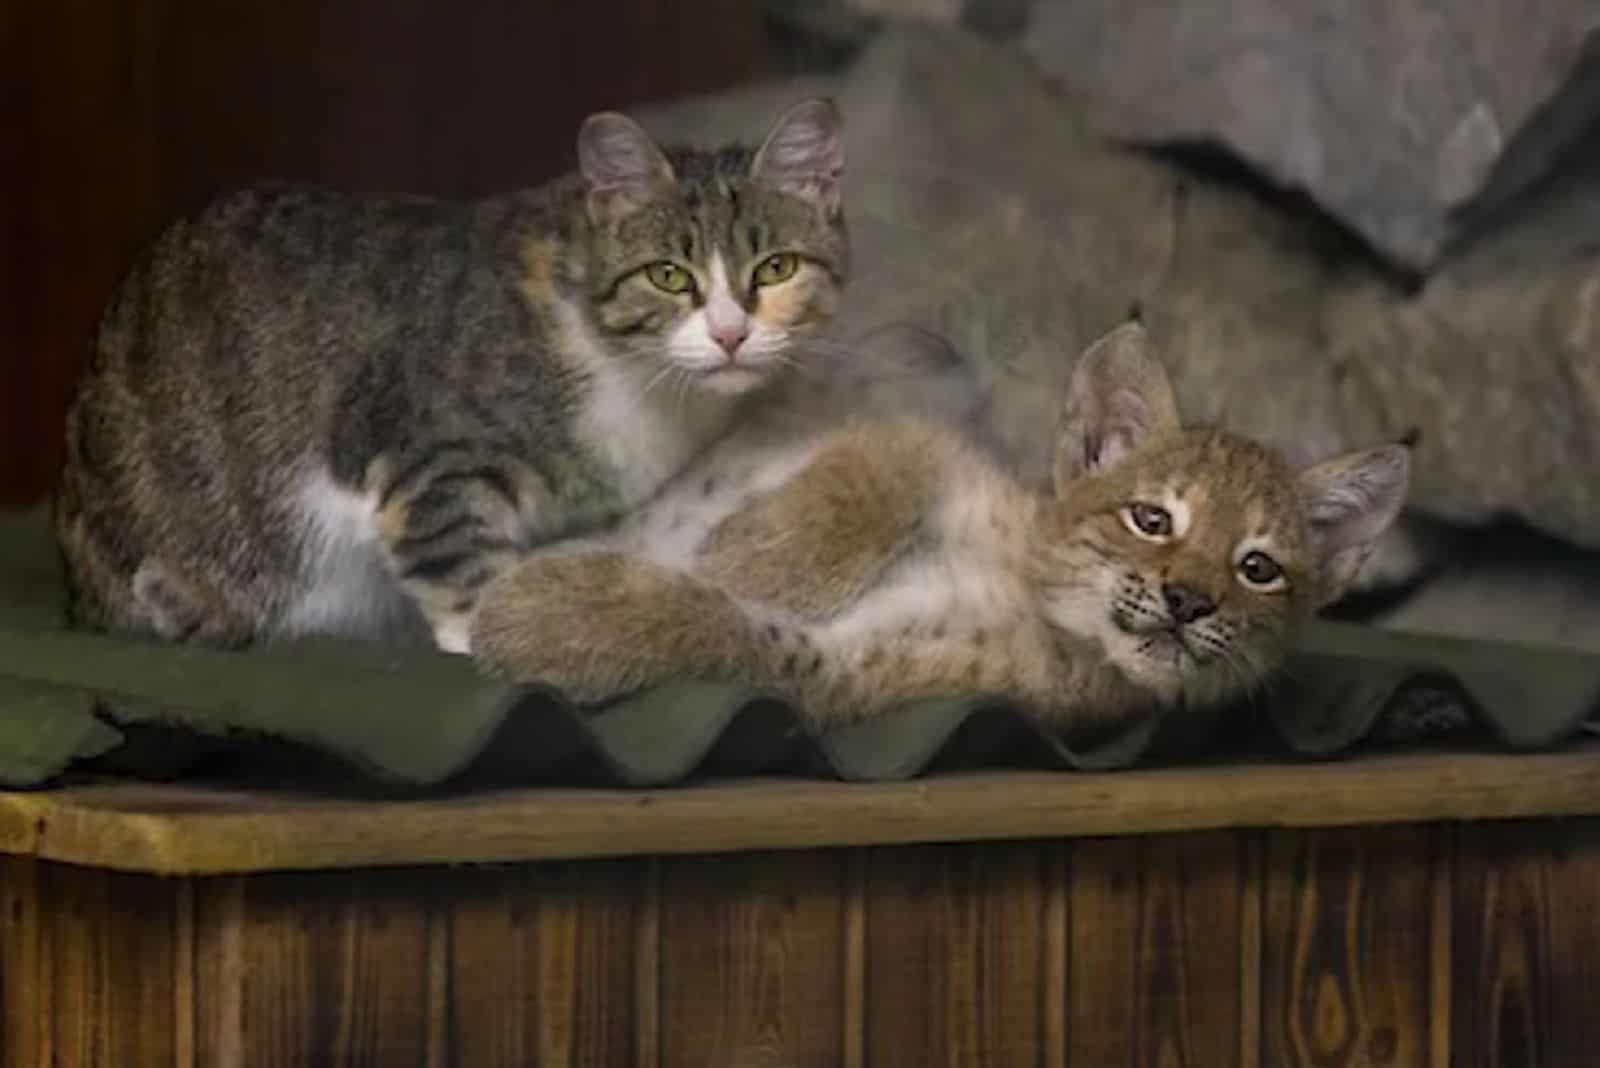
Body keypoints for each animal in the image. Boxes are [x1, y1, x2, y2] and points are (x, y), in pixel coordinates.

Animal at [467, 321, 1408, 738]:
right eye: (1152, 519)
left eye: (1258, 569)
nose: (1187, 601)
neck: (1042, 604)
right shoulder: (925, 442)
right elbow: (881, 467)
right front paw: (755, 556)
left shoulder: (851, 671)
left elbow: (726, 633)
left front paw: (535, 617)